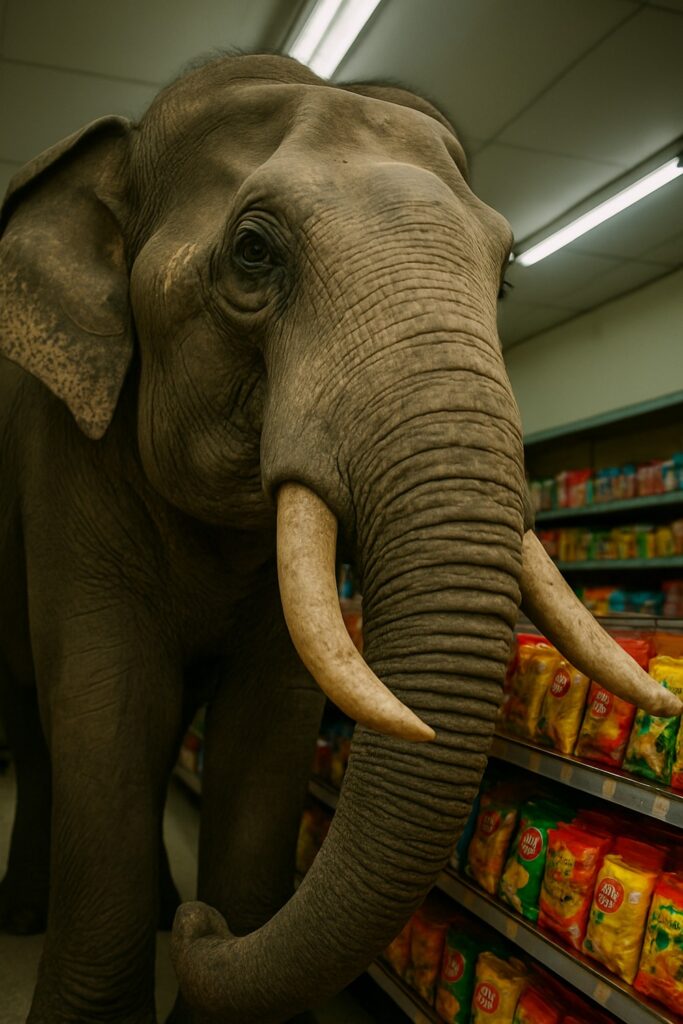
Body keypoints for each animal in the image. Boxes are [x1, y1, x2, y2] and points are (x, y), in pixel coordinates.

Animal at [0, 51, 678, 1024]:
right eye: (253, 252)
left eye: (504, 278)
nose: (209, 927)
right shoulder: (68, 456)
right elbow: (108, 699)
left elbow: (269, 721)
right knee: (37, 719)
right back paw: (38, 917)